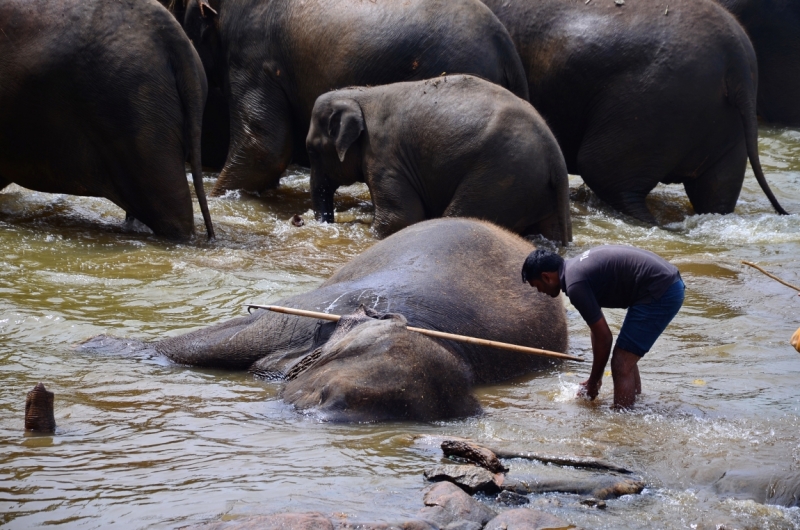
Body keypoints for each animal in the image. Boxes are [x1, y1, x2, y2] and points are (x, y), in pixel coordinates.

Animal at [306, 75, 576, 243]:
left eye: (312, 149)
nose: (327, 225)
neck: (361, 94)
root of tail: (556, 158)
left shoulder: (383, 154)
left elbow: (399, 218)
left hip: (501, 178)